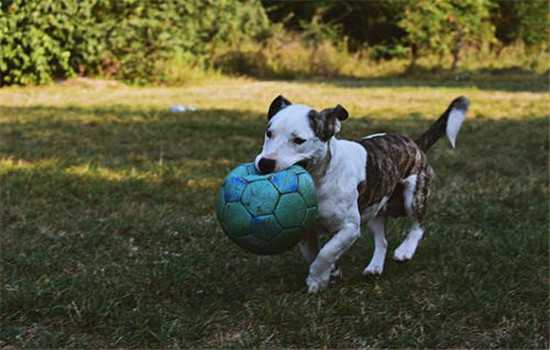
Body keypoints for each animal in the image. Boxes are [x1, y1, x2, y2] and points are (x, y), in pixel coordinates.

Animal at [254, 93, 470, 292]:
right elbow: (313, 253)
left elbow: (326, 252)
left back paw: (405, 251)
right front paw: (331, 271)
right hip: (375, 207)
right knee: (382, 240)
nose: (265, 163)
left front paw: (317, 280)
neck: (319, 179)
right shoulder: (304, 229)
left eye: (299, 140)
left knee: (418, 226)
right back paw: (375, 267)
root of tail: (414, 143)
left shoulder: (349, 228)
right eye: (269, 133)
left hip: (414, 195)